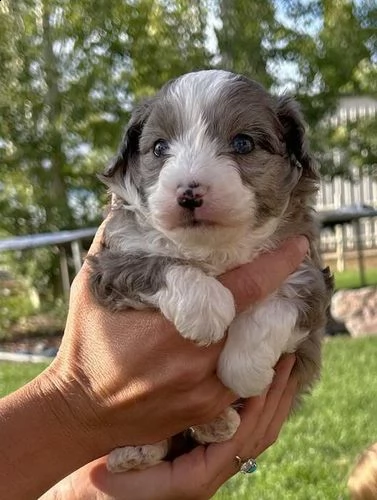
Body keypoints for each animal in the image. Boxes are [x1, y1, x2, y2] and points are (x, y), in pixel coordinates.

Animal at [89, 69, 332, 472]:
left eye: (243, 143)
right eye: (159, 148)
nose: (189, 193)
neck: (214, 249)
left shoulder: (309, 273)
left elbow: (275, 309)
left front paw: (246, 370)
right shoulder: (109, 263)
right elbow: (155, 264)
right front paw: (206, 308)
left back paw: (217, 423)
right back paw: (135, 453)